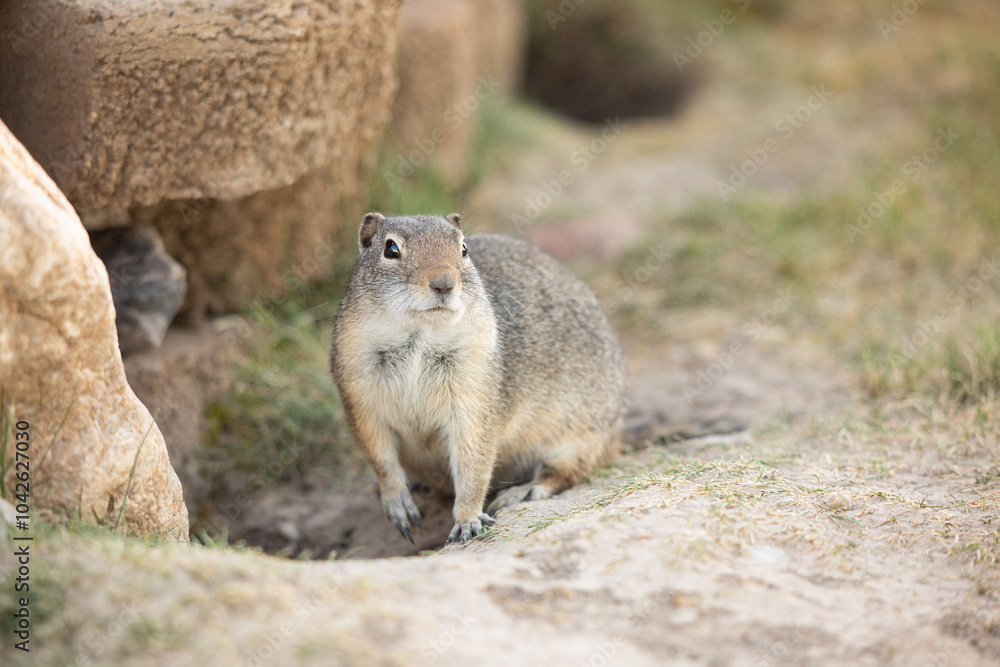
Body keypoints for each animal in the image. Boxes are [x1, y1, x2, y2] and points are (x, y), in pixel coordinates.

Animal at [330, 212, 627, 543]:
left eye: (463, 248)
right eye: (390, 249)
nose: (444, 283)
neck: (420, 335)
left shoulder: (474, 398)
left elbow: (474, 463)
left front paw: (468, 521)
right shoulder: (361, 401)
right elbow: (380, 460)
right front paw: (399, 506)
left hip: (579, 438)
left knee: (566, 471)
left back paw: (522, 491)